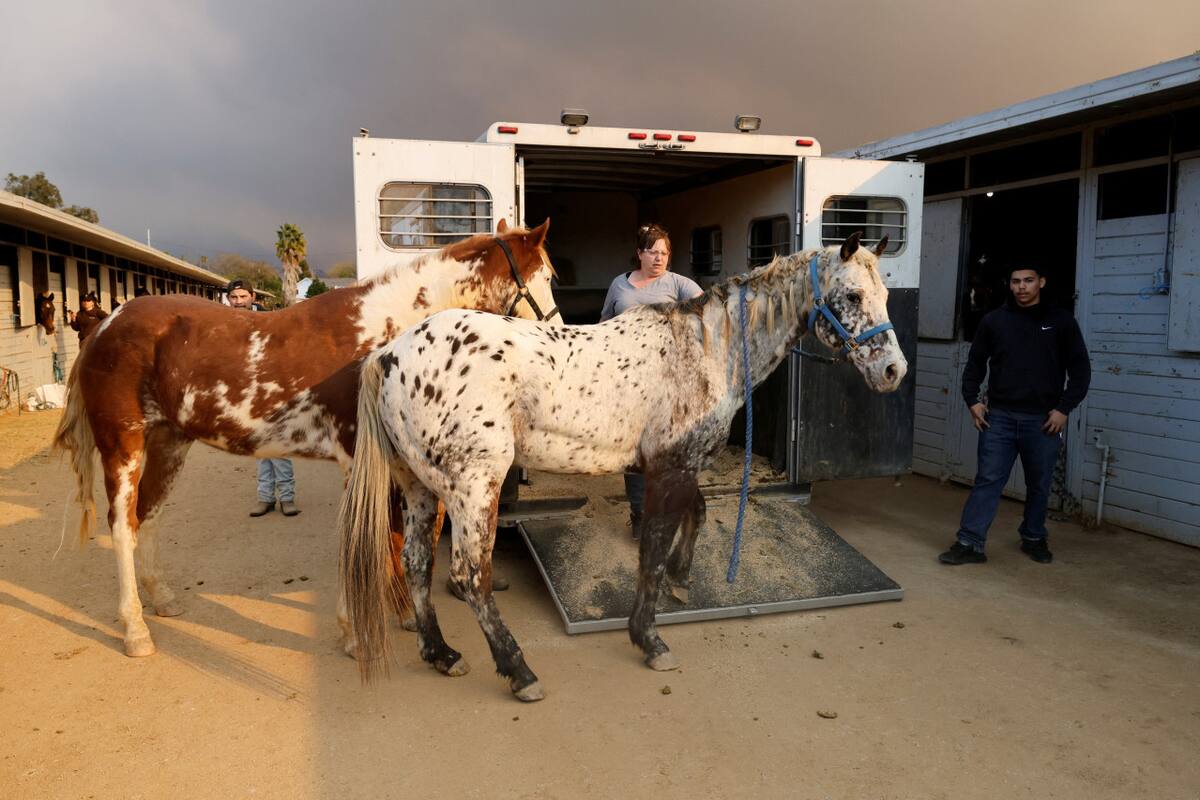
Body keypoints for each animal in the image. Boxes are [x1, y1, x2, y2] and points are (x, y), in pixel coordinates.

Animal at [52, 220, 559, 659]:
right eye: (547, 276)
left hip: (169, 442)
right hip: (122, 446)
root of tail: (105, 325)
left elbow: (393, 536)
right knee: (122, 526)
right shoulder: (359, 461)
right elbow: (365, 539)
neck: (381, 338)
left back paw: (162, 599)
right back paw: (135, 630)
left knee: (148, 516)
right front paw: (355, 633)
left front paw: (397, 616)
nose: (557, 330)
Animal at [340, 232, 906, 701]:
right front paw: (649, 639)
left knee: (417, 563)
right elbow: (651, 549)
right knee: (470, 575)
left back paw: (440, 654)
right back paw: (519, 672)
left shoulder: (677, 463)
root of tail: (389, 355)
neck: (704, 350)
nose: (893, 371)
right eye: (853, 296)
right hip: (474, 488)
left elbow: (695, 517)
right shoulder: (669, 467)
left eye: (884, 296)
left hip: (419, 486)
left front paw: (681, 578)